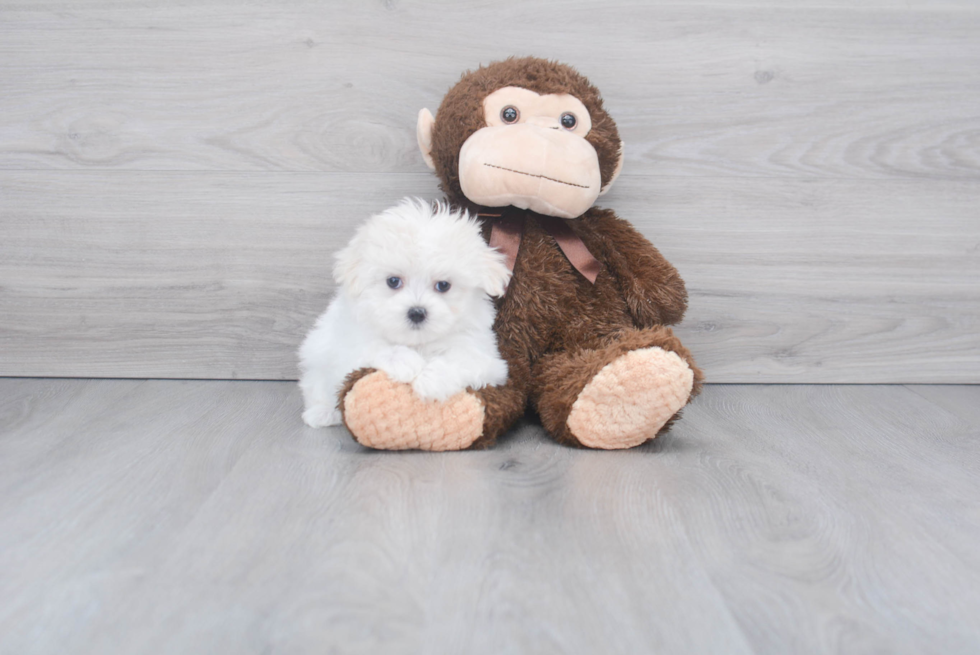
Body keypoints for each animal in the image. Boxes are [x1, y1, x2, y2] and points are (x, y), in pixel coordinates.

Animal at [296, 197, 512, 428]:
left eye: (443, 285)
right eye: (393, 281)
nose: (417, 312)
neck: (417, 343)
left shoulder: (488, 360)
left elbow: (461, 359)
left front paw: (432, 380)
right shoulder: (348, 344)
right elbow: (373, 347)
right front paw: (405, 362)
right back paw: (322, 412)